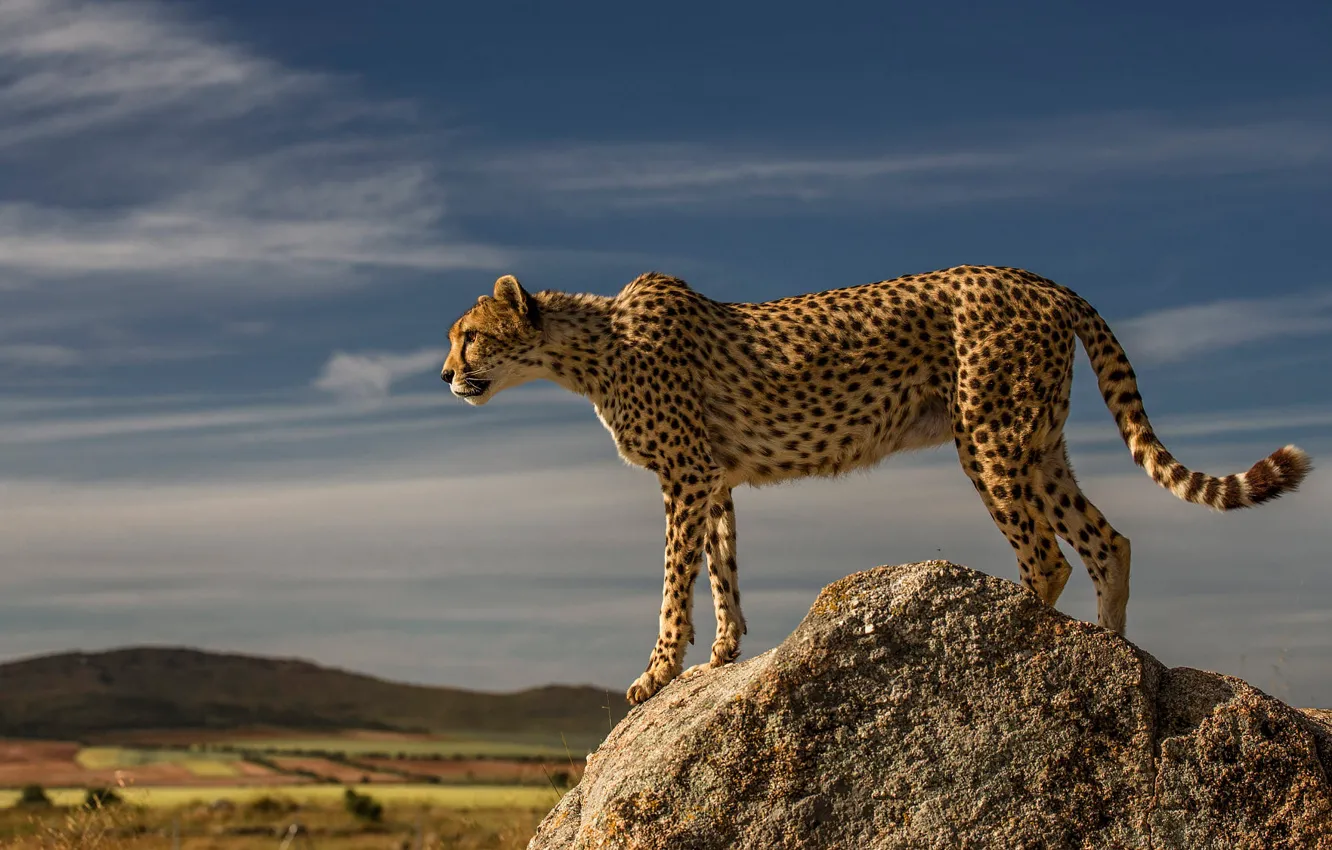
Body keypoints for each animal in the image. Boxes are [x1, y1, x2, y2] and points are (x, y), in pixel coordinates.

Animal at [440, 266, 1312, 705]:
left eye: (471, 336)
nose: (445, 374)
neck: (590, 349)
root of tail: (1043, 279)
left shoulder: (685, 476)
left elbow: (672, 582)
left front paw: (657, 672)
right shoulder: (714, 477)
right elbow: (722, 572)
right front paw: (721, 657)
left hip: (988, 438)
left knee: (1046, 555)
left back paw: (1023, 652)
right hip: (1039, 444)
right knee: (1107, 541)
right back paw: (1122, 667)